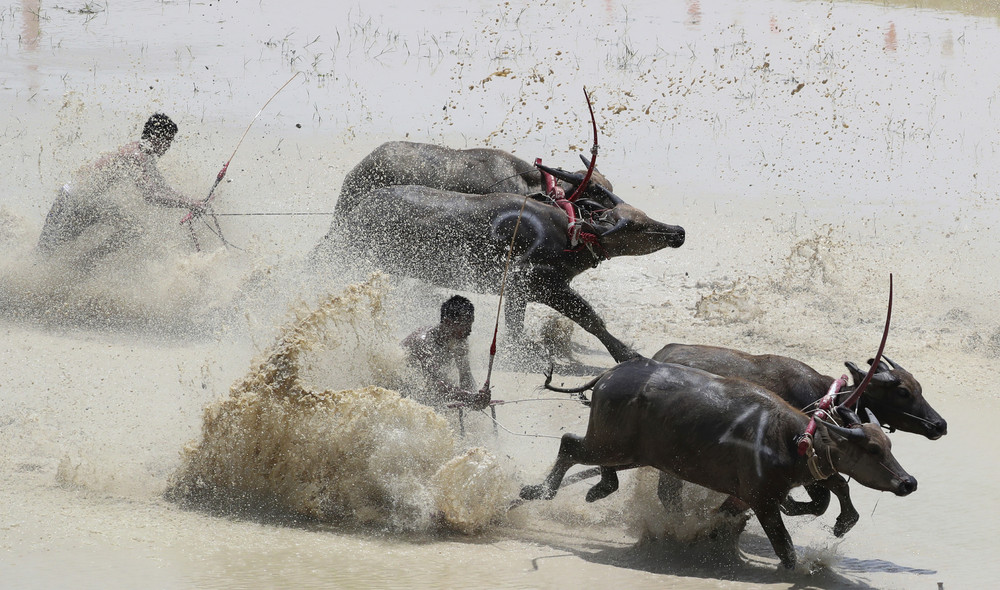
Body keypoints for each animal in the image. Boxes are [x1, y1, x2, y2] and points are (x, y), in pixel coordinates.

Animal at [524, 358, 920, 572]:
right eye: (872, 448)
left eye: (888, 445)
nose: (908, 482)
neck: (790, 437)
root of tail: (608, 376)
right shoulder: (762, 501)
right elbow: (785, 545)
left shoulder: (772, 491)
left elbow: (834, 486)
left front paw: (841, 521)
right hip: (608, 445)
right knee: (569, 445)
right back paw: (537, 491)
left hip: (627, 452)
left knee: (600, 464)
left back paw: (597, 488)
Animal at [652, 344, 948, 540]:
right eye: (903, 392)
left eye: (919, 387)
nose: (940, 425)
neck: (827, 401)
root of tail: (660, 356)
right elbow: (827, 496)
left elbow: (828, 495)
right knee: (669, 490)